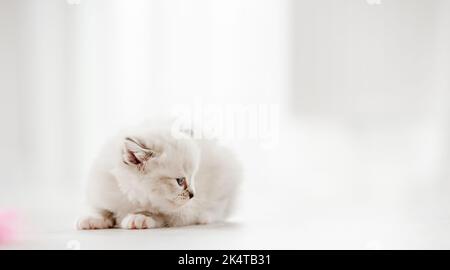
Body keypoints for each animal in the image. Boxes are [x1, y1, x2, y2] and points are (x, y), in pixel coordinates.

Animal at [76, 121, 243, 229]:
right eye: (180, 181)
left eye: (193, 177)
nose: (193, 195)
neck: (130, 197)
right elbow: (102, 210)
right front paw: (91, 219)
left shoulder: (182, 213)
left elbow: (157, 214)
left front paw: (139, 217)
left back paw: (206, 217)